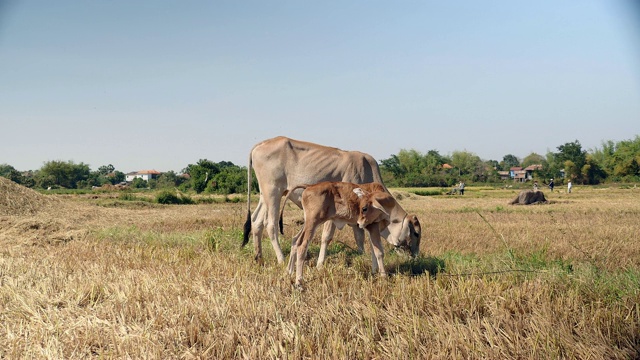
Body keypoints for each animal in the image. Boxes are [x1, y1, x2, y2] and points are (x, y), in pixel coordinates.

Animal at [242, 136, 388, 262]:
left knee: (256, 221)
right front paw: (320, 262)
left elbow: (359, 235)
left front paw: (361, 255)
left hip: (264, 195)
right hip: (273, 192)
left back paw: (258, 257)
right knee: (270, 224)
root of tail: (261, 144)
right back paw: (281, 258)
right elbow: (327, 236)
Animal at [280, 181, 420, 288]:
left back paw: (288, 272)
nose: (416, 254)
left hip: (308, 223)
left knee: (295, 240)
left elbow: (373, 251)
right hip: (313, 222)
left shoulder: (371, 230)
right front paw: (383, 276)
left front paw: (374, 272)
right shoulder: (373, 227)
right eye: (416, 233)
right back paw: (299, 281)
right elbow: (379, 252)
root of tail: (310, 186)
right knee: (302, 245)